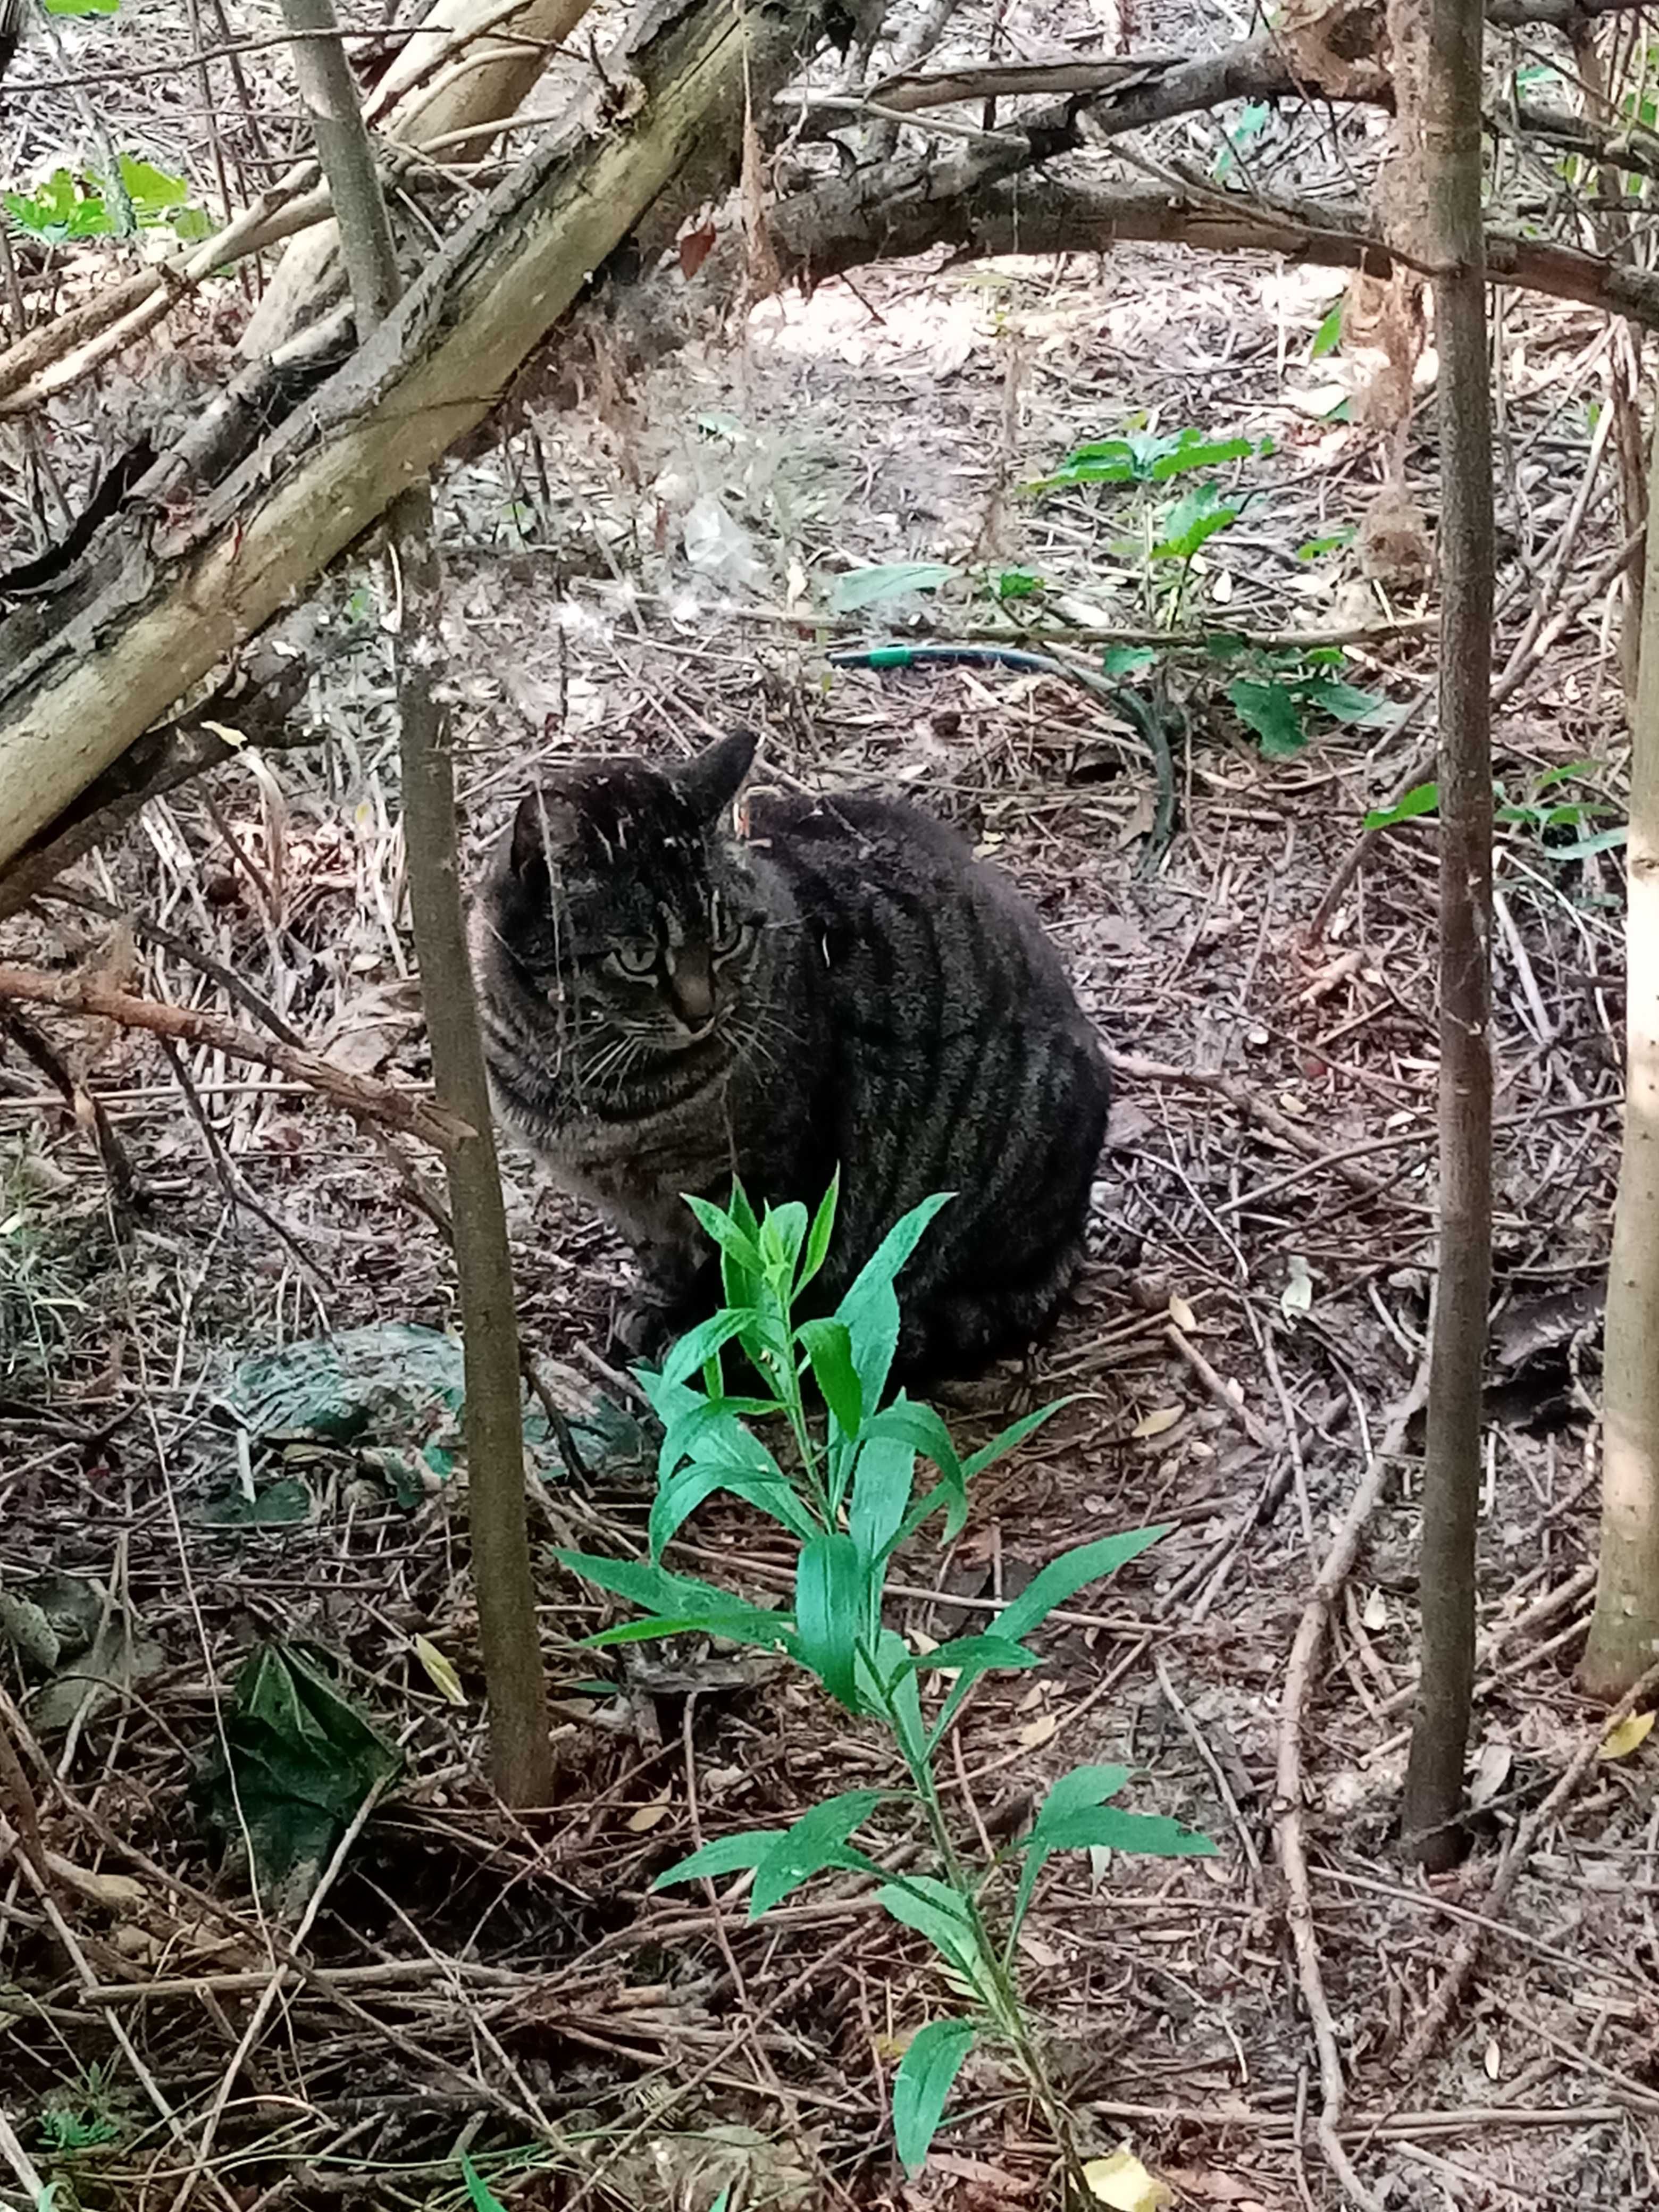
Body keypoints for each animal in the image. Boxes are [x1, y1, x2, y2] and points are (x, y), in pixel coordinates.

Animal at [471, 734, 1119, 1371]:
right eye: (637, 958)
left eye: (727, 938)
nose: (702, 1012)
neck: (593, 1084)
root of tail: (1070, 1229)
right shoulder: (639, 1210)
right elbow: (665, 1260)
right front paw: (658, 1307)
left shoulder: (768, 1176)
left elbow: (735, 1276)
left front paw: (709, 1345)